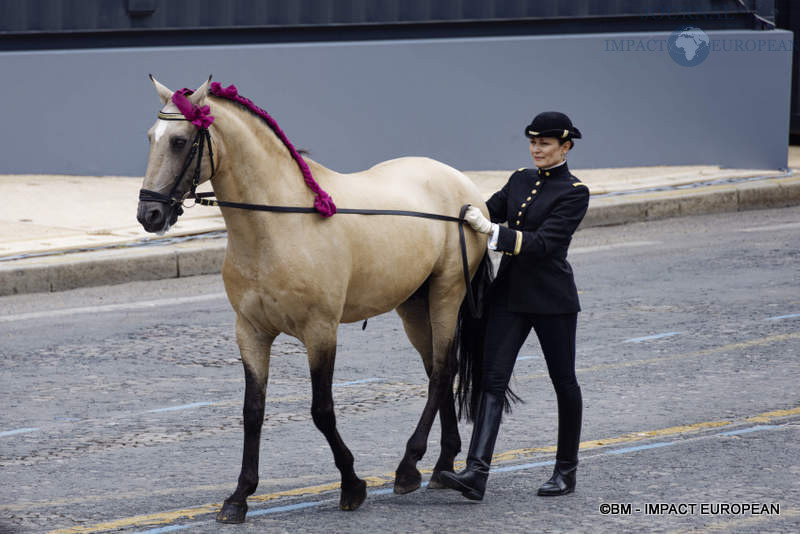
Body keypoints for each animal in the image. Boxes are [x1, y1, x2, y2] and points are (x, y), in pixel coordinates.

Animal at [135, 77, 490, 524]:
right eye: (151, 137)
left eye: (180, 141)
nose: (148, 215)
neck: (277, 223)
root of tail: (463, 185)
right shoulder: (250, 332)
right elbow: (253, 412)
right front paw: (240, 496)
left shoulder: (320, 332)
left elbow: (322, 410)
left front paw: (352, 485)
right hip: (413, 305)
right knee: (437, 372)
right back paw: (443, 463)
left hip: (447, 292)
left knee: (443, 371)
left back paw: (410, 466)